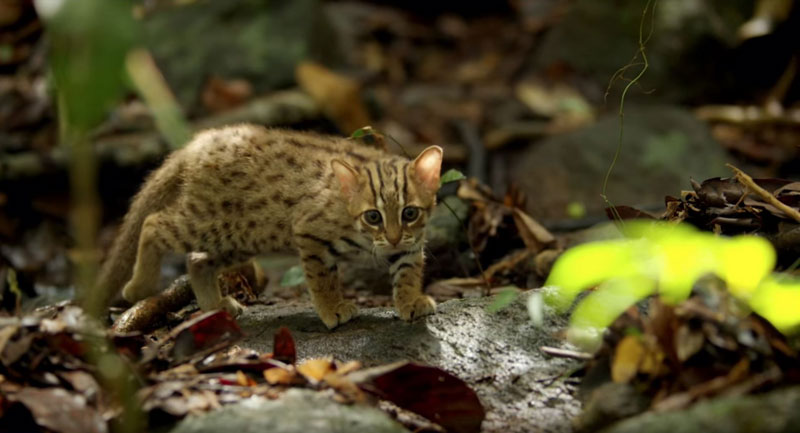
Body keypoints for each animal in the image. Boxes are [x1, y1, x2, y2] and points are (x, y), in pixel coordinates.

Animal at [97, 123, 444, 326]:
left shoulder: (411, 245)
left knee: (197, 260)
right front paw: (332, 308)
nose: (394, 238)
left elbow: (408, 271)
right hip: (209, 223)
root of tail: (199, 142)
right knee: (153, 223)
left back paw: (214, 305)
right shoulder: (309, 233)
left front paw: (410, 300)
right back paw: (139, 286)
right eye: (373, 216)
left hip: (239, 237)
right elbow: (323, 279)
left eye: (409, 213)